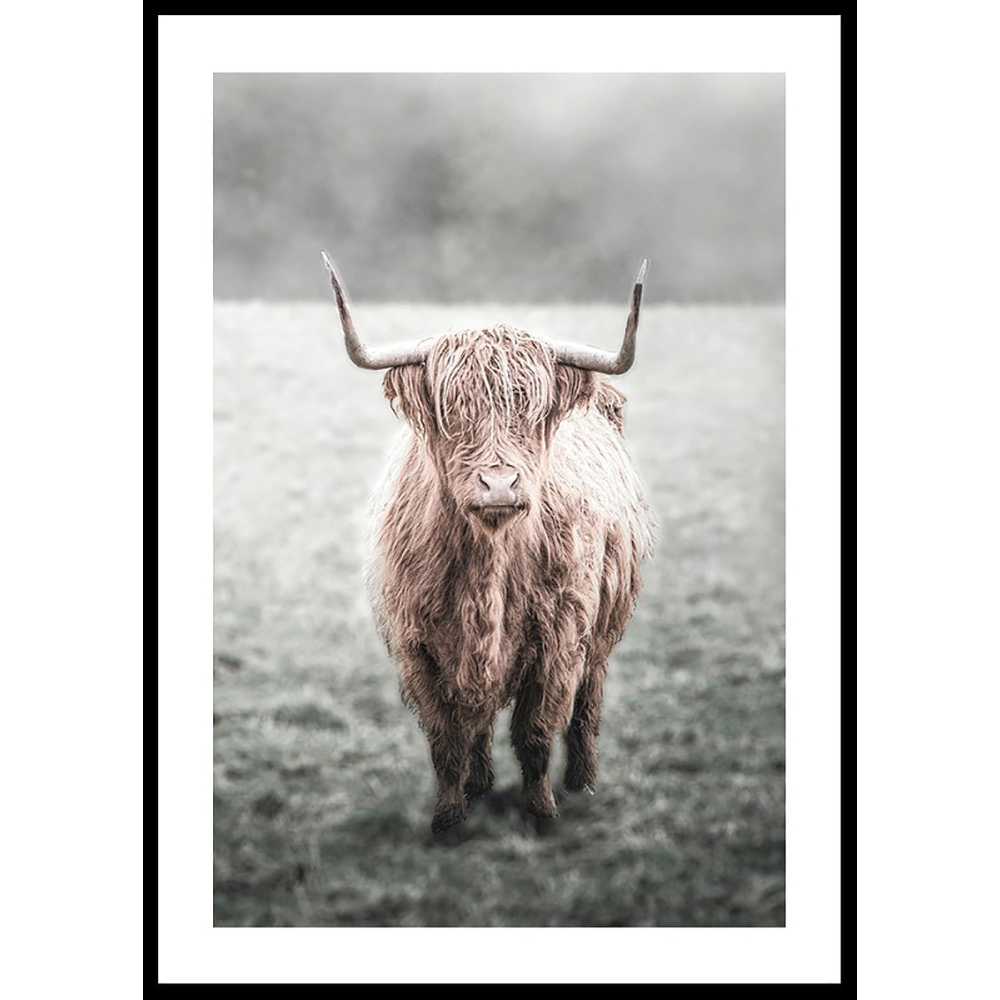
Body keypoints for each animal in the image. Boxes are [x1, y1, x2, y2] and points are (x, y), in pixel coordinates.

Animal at [322, 252, 656, 835]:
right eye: (453, 409)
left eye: (532, 410)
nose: (499, 484)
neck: (489, 564)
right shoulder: (418, 647)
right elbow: (445, 739)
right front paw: (449, 817)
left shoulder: (561, 640)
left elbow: (536, 733)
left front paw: (541, 811)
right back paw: (479, 785)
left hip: (602, 633)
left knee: (587, 706)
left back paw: (583, 783)